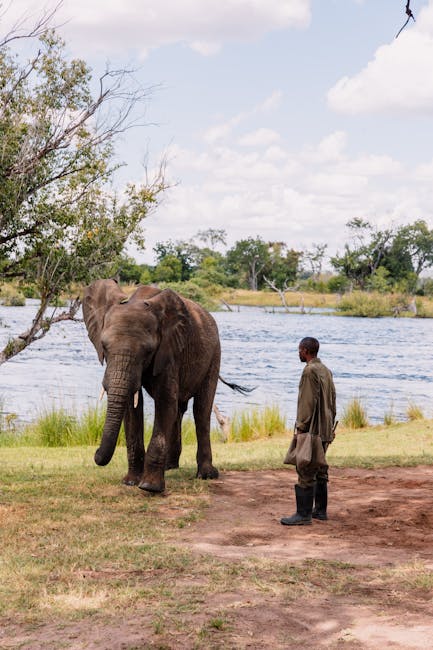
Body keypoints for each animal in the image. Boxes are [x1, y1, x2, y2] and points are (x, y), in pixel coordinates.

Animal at [83, 278, 244, 493]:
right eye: (104, 346)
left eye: (148, 350)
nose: (95, 454)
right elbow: (132, 408)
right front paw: (130, 482)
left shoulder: (169, 351)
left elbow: (165, 402)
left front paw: (150, 487)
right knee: (179, 409)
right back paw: (170, 466)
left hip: (214, 354)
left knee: (201, 409)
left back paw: (206, 475)